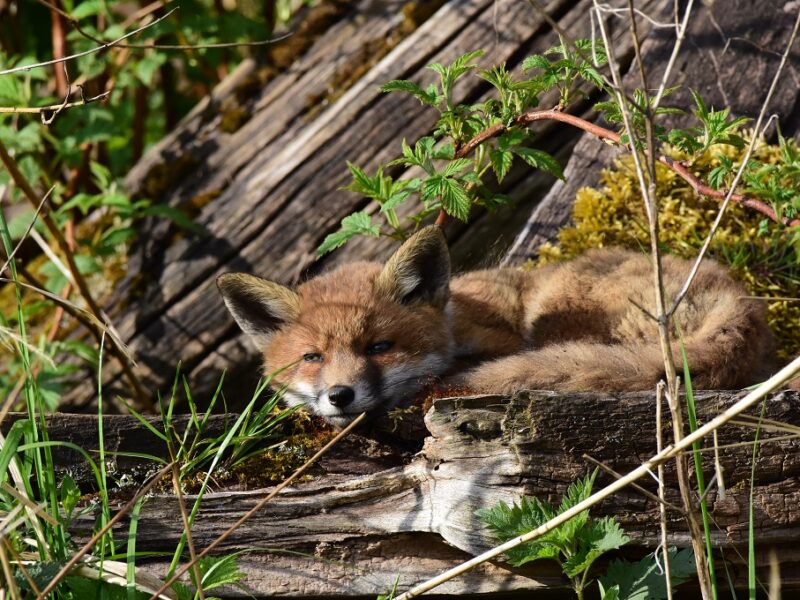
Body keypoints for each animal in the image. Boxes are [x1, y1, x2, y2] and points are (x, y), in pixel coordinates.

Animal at [217, 224, 776, 426]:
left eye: (379, 346)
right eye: (312, 357)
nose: (340, 396)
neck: (457, 322)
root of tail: (740, 298)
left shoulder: (500, 340)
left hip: (556, 309)